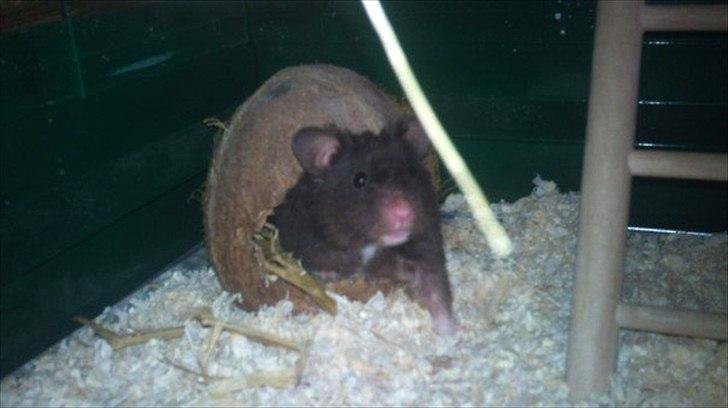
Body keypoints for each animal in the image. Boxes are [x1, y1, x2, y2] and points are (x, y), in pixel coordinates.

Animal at [270, 116, 456, 335]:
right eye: (359, 179)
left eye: (411, 174)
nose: (404, 212)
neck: (369, 243)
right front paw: (327, 275)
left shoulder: (425, 250)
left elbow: (436, 292)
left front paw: (449, 333)